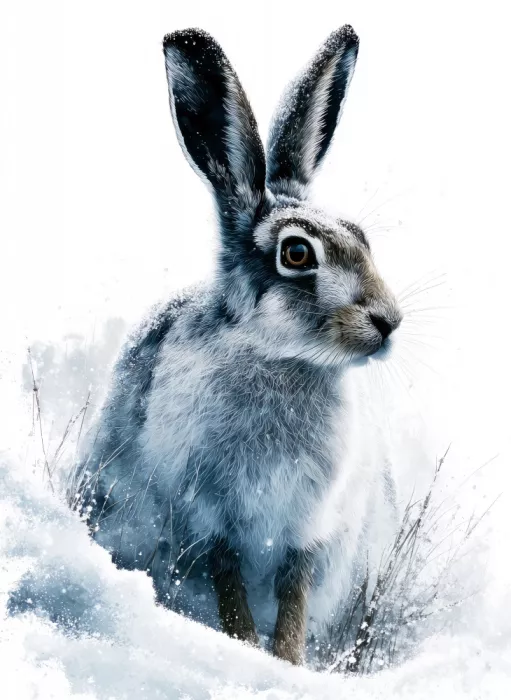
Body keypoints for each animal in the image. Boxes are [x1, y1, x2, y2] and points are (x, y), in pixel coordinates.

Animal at [72, 25, 403, 666]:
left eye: (361, 237)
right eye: (297, 253)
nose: (389, 321)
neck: (280, 359)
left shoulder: (308, 530)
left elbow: (293, 596)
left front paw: (288, 661)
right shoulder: (209, 521)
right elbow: (230, 592)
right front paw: (248, 650)